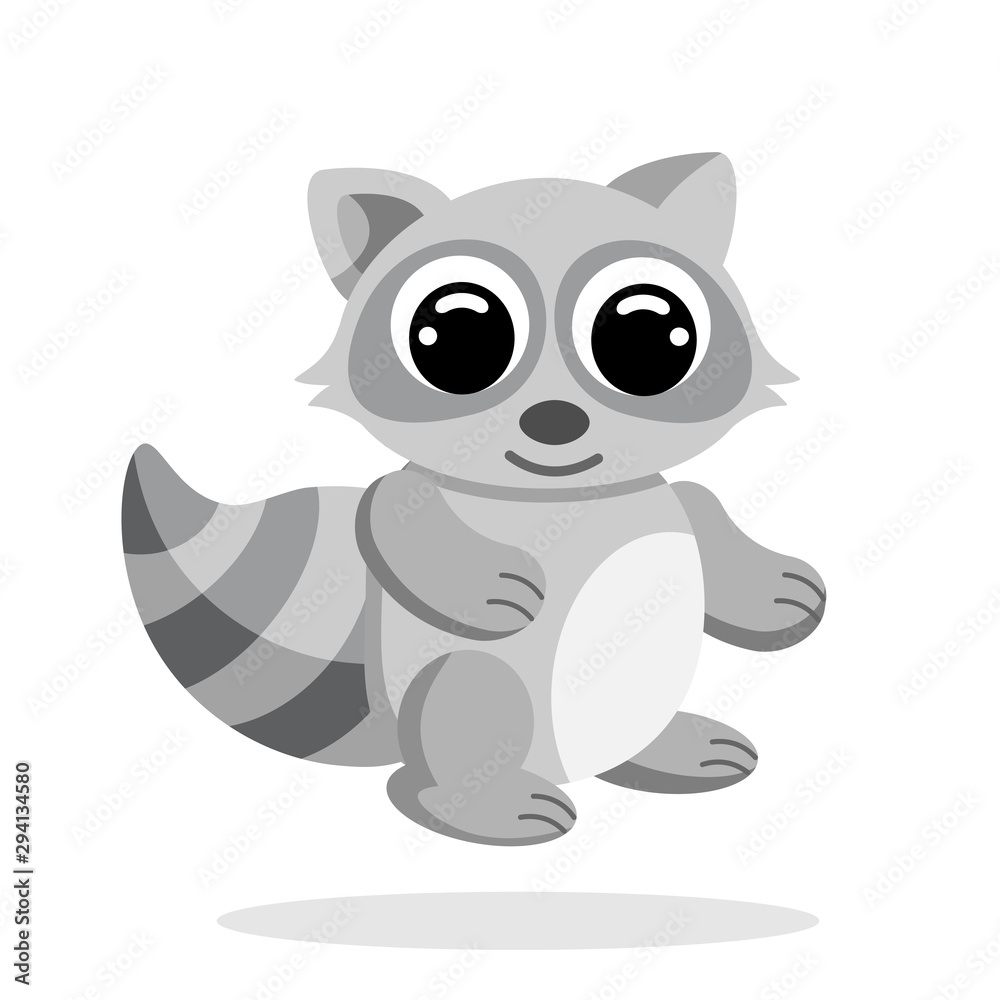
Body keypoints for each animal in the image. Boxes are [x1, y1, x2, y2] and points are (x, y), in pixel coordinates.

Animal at [123, 153, 825, 846]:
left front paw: (779, 589)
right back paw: (497, 808)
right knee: (431, 773)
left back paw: (681, 751)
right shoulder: (409, 503)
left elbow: (699, 501)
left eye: (654, 336)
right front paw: (496, 587)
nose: (554, 421)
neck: (557, 501)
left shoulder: (672, 502)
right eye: (454, 334)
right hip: (472, 689)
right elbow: (390, 510)